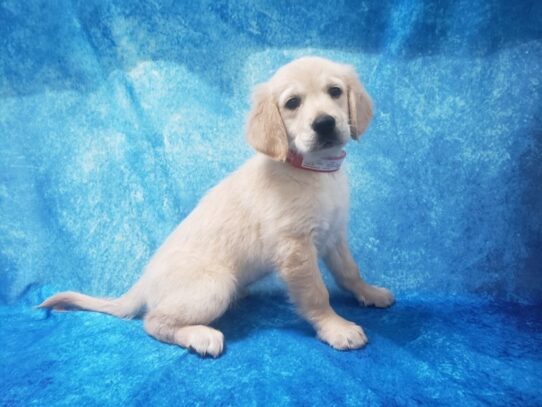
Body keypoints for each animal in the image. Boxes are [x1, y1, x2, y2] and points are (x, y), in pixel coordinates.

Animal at [39, 56, 396, 356]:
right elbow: (316, 293)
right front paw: (336, 327)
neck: (312, 171)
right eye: (293, 103)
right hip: (214, 286)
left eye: (334, 91)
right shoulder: (295, 249)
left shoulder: (334, 234)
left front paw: (370, 292)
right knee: (153, 321)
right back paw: (200, 335)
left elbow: (349, 271)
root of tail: (143, 282)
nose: (324, 123)